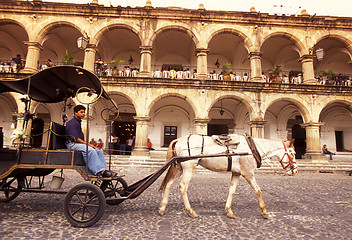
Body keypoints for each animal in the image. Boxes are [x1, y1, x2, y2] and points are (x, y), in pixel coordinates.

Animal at [158, 133, 296, 219]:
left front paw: (229, 210)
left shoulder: (236, 173)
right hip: (188, 167)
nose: (294, 170)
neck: (252, 148)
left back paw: (162, 207)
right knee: (183, 186)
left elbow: (232, 191)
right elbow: (258, 191)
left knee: (168, 184)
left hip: (179, 168)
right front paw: (264, 211)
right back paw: (190, 211)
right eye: (293, 153)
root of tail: (179, 139)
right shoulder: (248, 173)